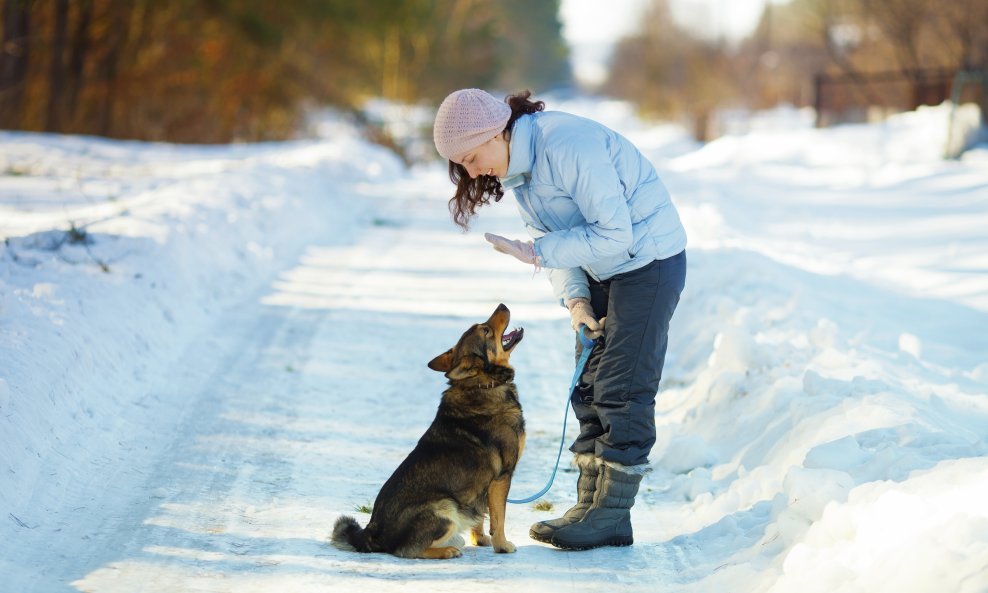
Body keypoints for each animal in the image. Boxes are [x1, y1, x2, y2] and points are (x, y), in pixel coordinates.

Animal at [332, 302, 528, 556]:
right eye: (486, 330)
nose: (502, 305)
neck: (482, 384)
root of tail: (371, 533)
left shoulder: (482, 489)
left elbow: (481, 517)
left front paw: (481, 539)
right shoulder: (502, 477)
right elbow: (499, 517)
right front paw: (502, 545)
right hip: (445, 507)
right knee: (407, 550)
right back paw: (447, 551)